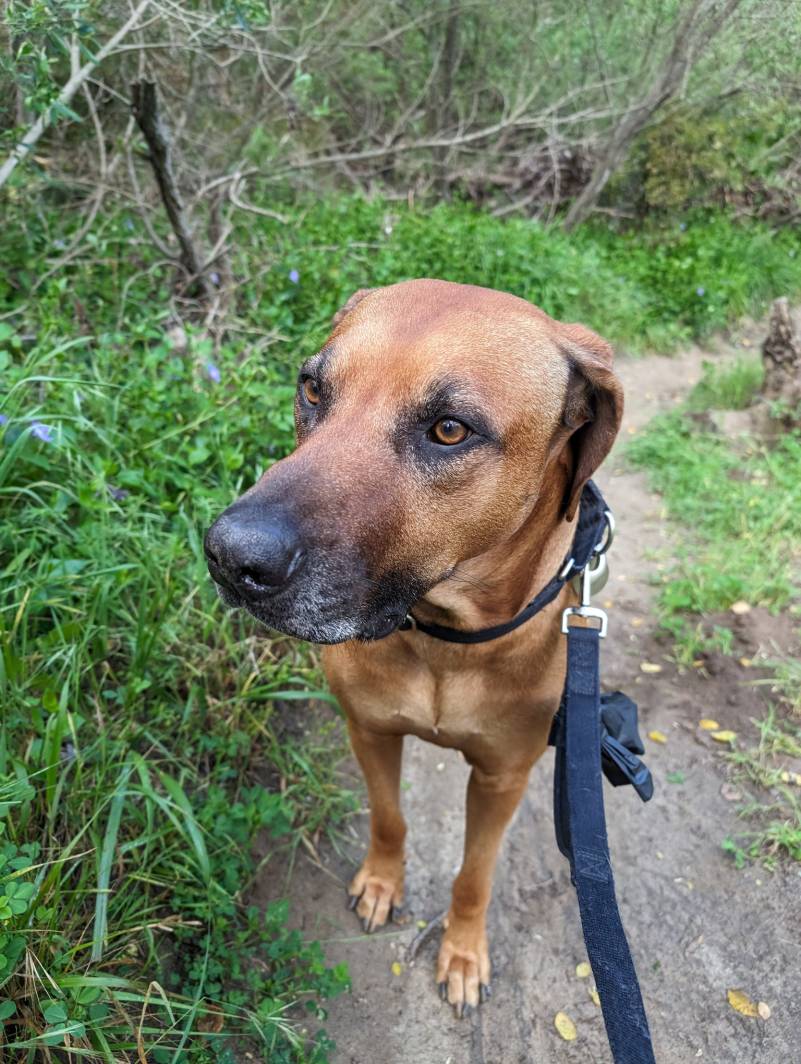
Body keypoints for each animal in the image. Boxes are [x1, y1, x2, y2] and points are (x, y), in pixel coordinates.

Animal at [203, 278, 621, 1017]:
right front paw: (380, 882)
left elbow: (474, 874)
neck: (443, 638)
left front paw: (463, 951)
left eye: (450, 429)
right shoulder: (369, 730)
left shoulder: (502, 778)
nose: (231, 557)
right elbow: (390, 819)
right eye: (313, 389)